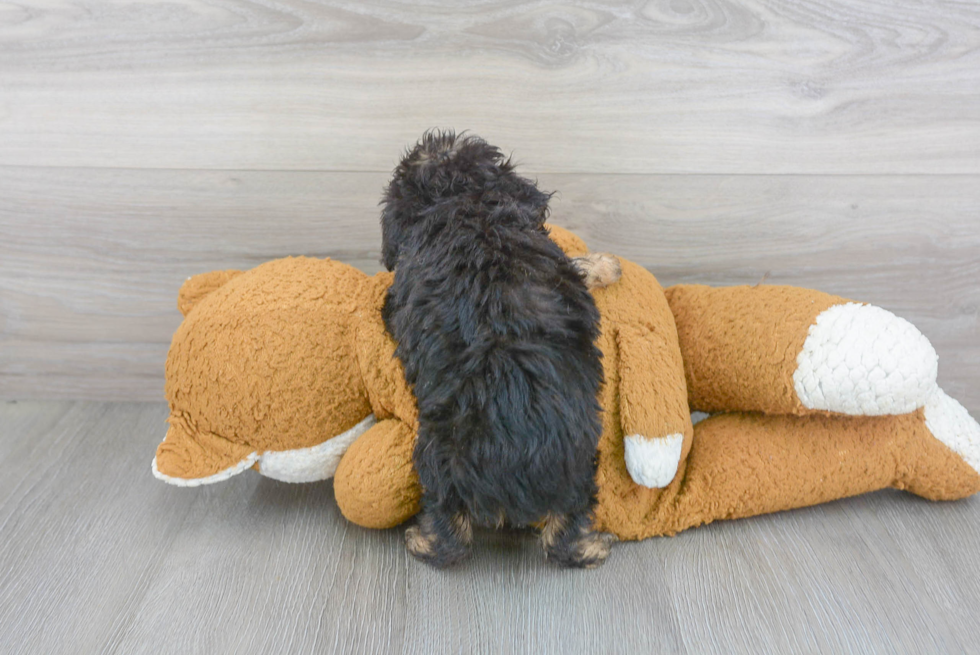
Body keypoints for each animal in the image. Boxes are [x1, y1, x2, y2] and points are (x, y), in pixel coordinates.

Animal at [378, 129, 616, 568]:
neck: (463, 203)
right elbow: (575, 265)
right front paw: (606, 265)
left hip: (438, 458)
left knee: (453, 534)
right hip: (579, 462)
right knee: (558, 536)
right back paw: (594, 546)